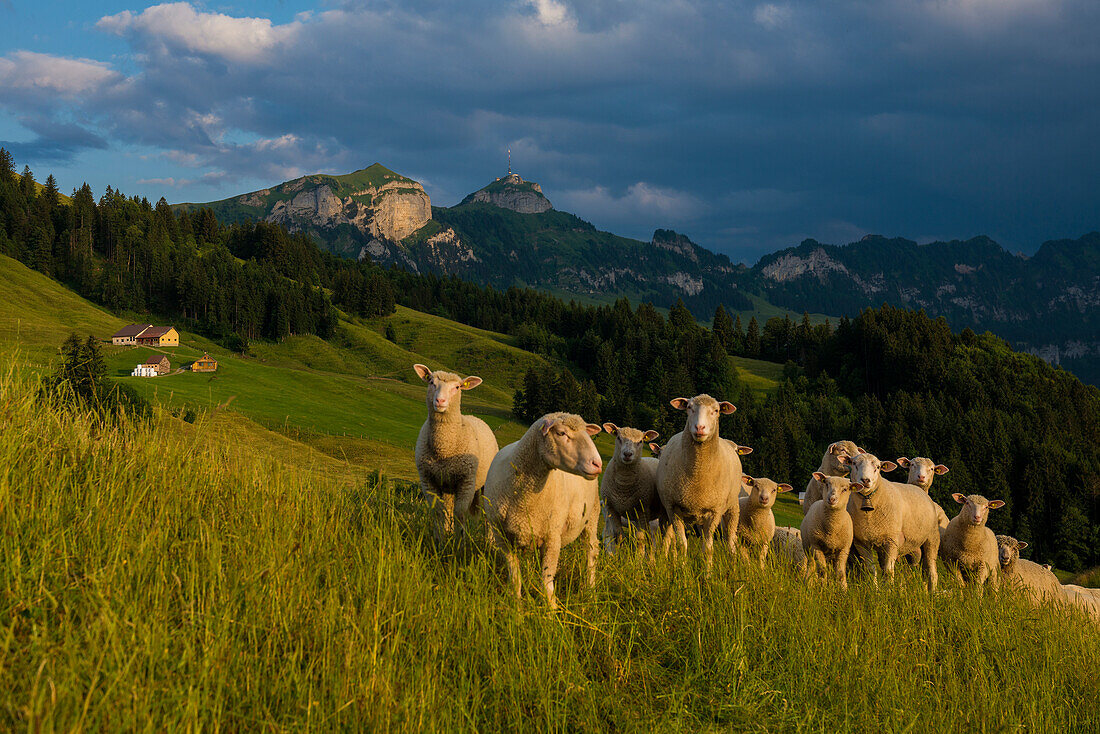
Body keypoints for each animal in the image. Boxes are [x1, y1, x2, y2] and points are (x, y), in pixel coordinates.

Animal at [413, 363, 499, 539]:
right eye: (431, 382)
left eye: (457, 387)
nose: (440, 401)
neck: (444, 449)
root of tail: (476, 417)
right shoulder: (428, 480)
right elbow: (439, 512)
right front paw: (440, 539)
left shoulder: (466, 481)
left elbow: (460, 513)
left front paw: (461, 541)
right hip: (447, 484)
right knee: (448, 507)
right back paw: (448, 531)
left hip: (485, 482)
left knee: (487, 513)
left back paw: (489, 540)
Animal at [484, 413, 602, 607]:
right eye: (561, 433)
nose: (597, 464)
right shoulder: (501, 535)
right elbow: (514, 571)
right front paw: (515, 601)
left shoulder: (553, 536)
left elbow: (547, 577)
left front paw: (551, 608)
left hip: (592, 516)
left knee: (591, 552)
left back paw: (590, 590)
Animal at [602, 422, 660, 554]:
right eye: (618, 437)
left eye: (640, 441)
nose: (627, 454)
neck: (623, 484)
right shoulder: (612, 509)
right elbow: (618, 535)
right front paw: (619, 556)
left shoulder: (642, 510)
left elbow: (640, 539)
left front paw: (638, 558)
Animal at [655, 396, 743, 567]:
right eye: (689, 407)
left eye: (716, 410)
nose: (699, 427)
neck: (697, 475)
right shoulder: (673, 508)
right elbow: (681, 544)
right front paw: (681, 568)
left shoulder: (715, 512)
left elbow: (708, 549)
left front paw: (708, 572)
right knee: (667, 538)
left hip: (732, 507)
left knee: (730, 539)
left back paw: (733, 563)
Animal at [840, 451, 937, 594]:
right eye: (854, 463)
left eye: (878, 467)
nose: (865, 480)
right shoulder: (861, 542)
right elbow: (871, 570)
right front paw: (875, 590)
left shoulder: (892, 541)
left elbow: (888, 570)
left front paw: (889, 591)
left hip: (931, 539)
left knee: (932, 570)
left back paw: (933, 593)